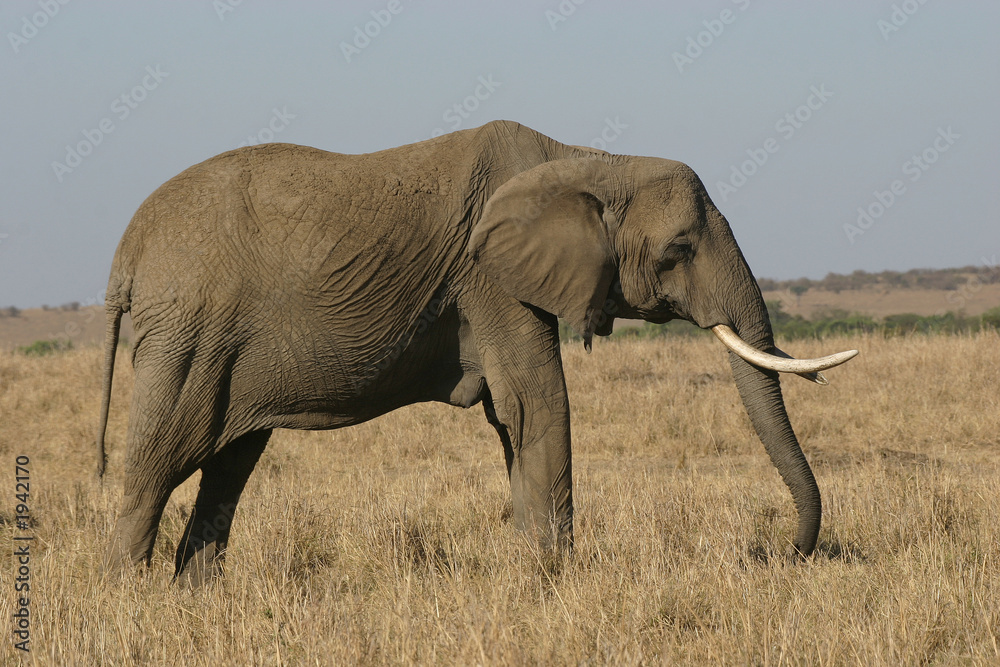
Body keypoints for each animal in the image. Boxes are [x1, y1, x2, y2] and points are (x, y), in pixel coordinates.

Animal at [96, 120, 856, 585]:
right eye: (681, 248)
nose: (779, 551)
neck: (585, 157)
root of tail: (127, 246)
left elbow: (513, 419)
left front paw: (533, 573)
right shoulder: (490, 277)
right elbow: (538, 405)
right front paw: (556, 580)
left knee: (228, 463)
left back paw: (196, 597)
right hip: (191, 330)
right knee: (160, 460)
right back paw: (126, 597)